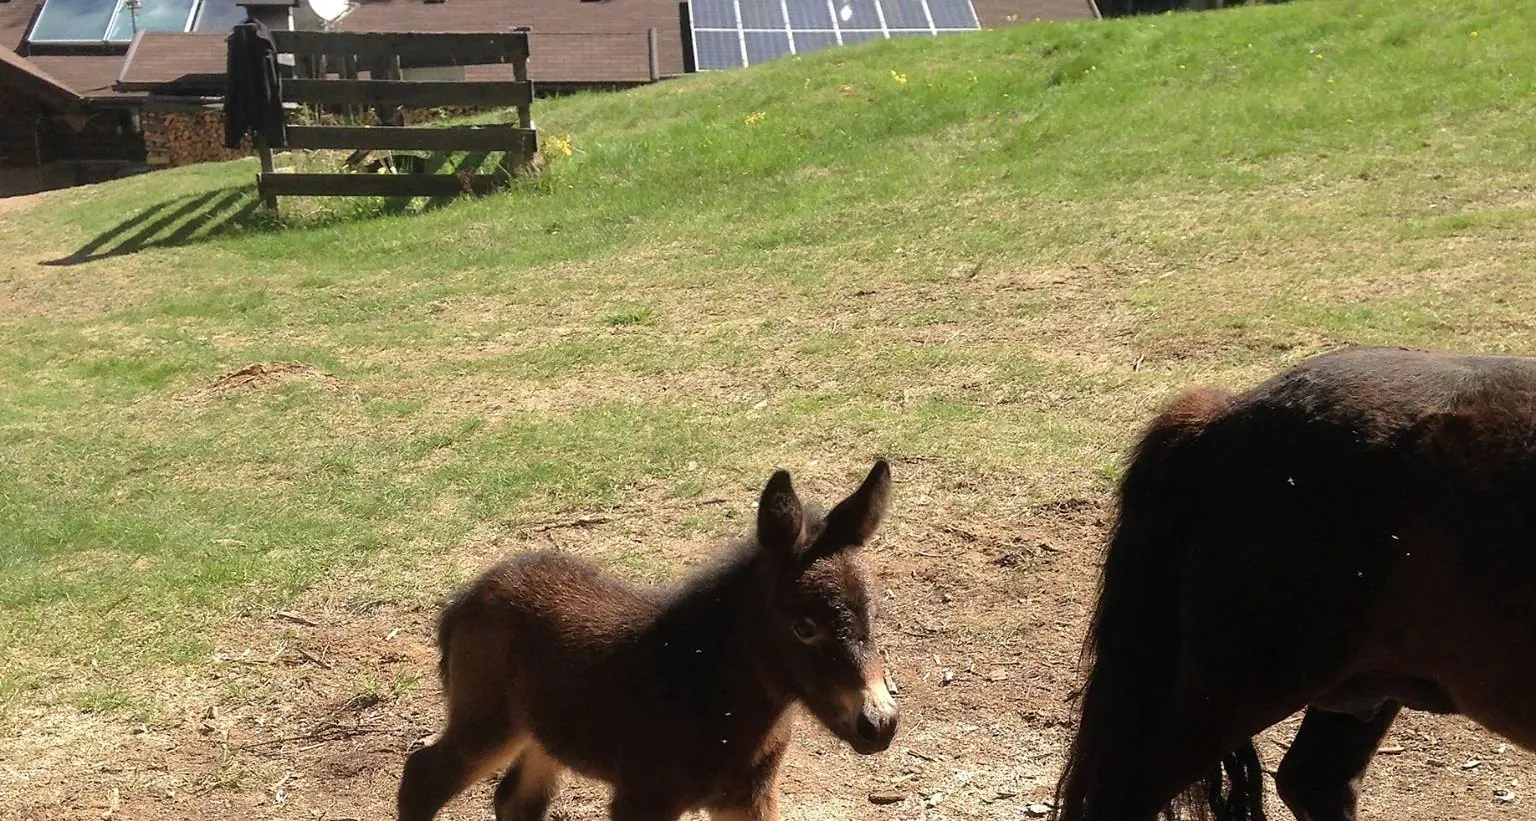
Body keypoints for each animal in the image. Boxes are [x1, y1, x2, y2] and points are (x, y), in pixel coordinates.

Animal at [397, 460, 900, 821]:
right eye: (804, 626)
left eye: (874, 614)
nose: (880, 724)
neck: (716, 695)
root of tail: (465, 596)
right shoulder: (642, 797)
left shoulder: (750, 796)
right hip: (488, 719)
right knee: (421, 780)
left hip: (543, 731)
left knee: (514, 800)